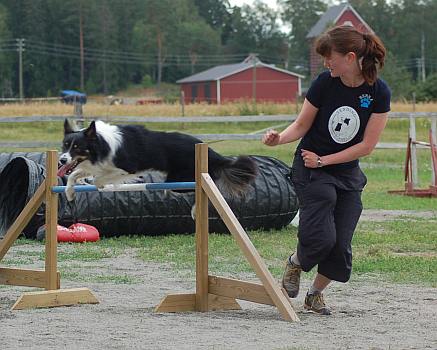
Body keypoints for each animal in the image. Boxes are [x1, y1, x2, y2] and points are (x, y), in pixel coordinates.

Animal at [57, 119, 255, 202]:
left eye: (77, 147)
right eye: (65, 145)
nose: (61, 160)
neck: (100, 143)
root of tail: (211, 152)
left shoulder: (127, 168)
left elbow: (99, 178)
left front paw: (100, 185)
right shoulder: (97, 165)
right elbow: (74, 173)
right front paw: (70, 193)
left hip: (181, 180)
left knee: (204, 189)